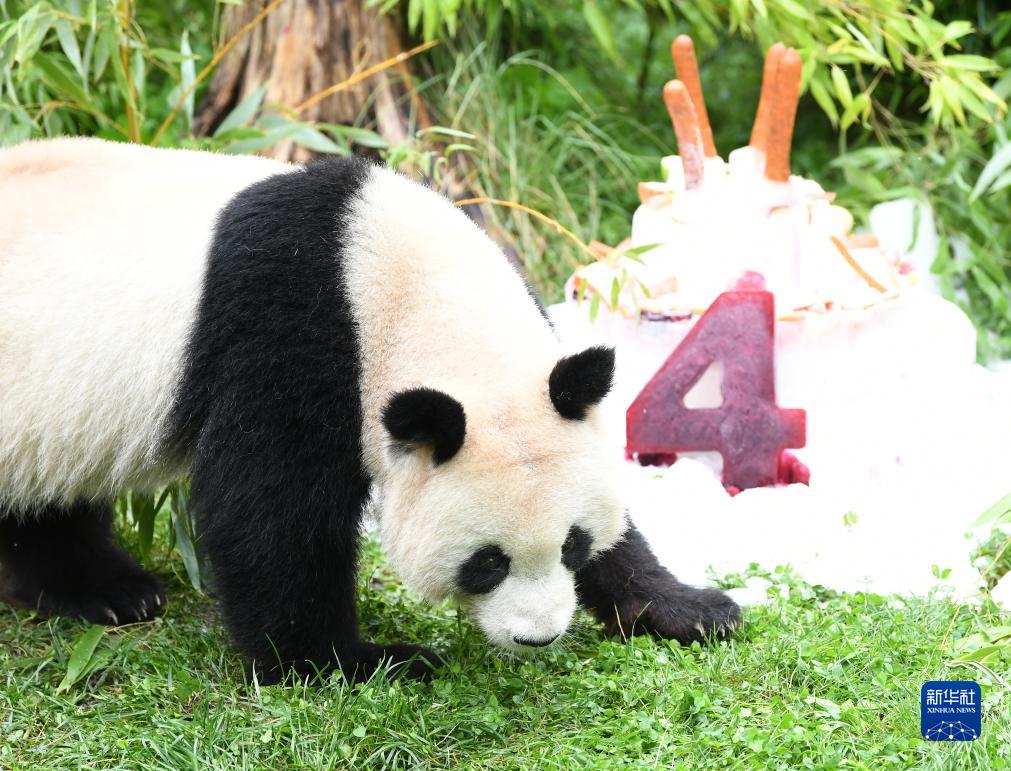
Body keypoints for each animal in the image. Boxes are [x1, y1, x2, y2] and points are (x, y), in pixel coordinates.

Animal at [0, 138, 744, 683]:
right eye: (487, 562)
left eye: (572, 543)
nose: (538, 636)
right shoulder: (287, 327)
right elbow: (271, 510)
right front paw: (356, 659)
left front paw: (688, 608)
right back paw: (112, 592)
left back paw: (106, 589)